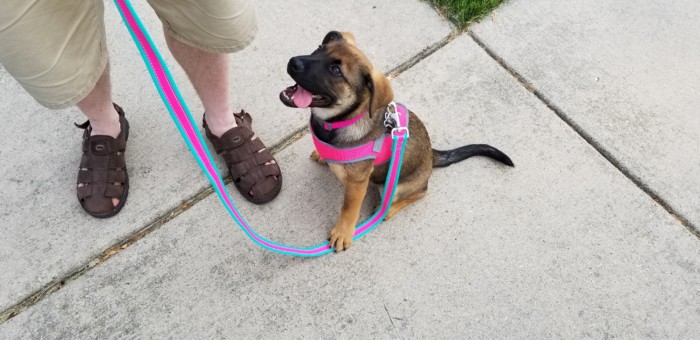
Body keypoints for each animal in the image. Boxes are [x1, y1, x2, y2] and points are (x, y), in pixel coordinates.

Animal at [278, 31, 516, 252]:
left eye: (336, 71)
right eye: (319, 48)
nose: (293, 62)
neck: (339, 122)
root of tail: (431, 155)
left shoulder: (357, 184)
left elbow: (348, 210)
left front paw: (343, 233)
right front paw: (322, 154)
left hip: (394, 186)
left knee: (421, 193)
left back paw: (388, 209)